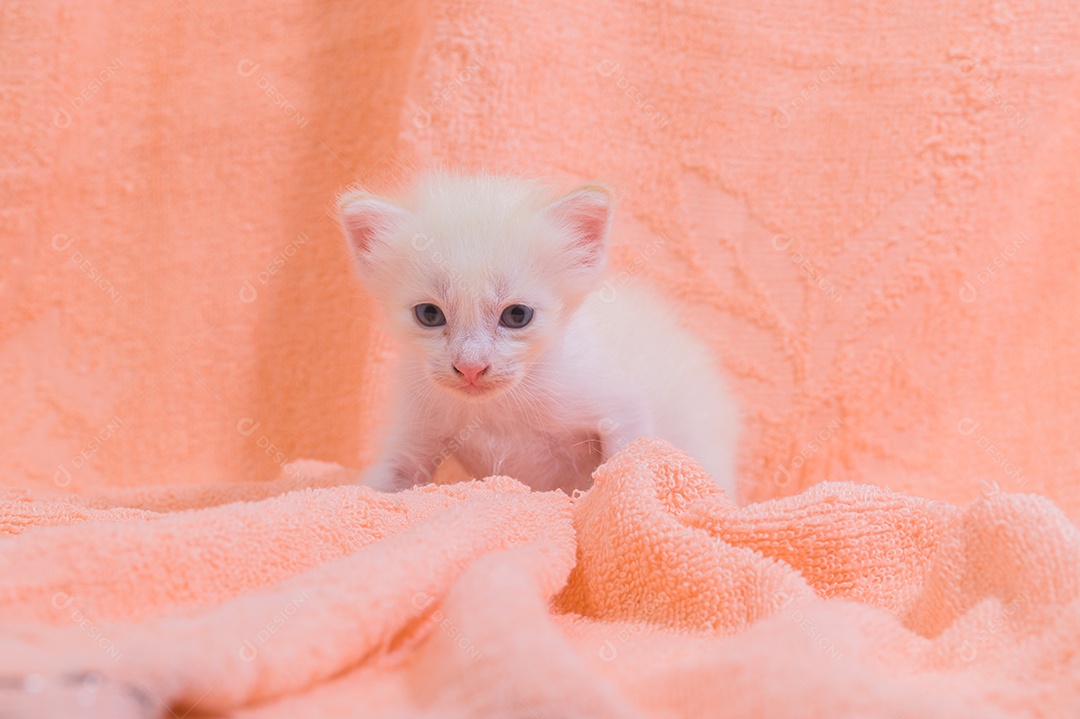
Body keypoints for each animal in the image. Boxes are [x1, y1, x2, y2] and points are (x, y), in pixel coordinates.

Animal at [341, 173, 738, 498]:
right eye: (429, 314)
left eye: (517, 316)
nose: (470, 368)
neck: (498, 411)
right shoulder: (411, 438)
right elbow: (377, 486)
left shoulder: (623, 408)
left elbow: (621, 466)